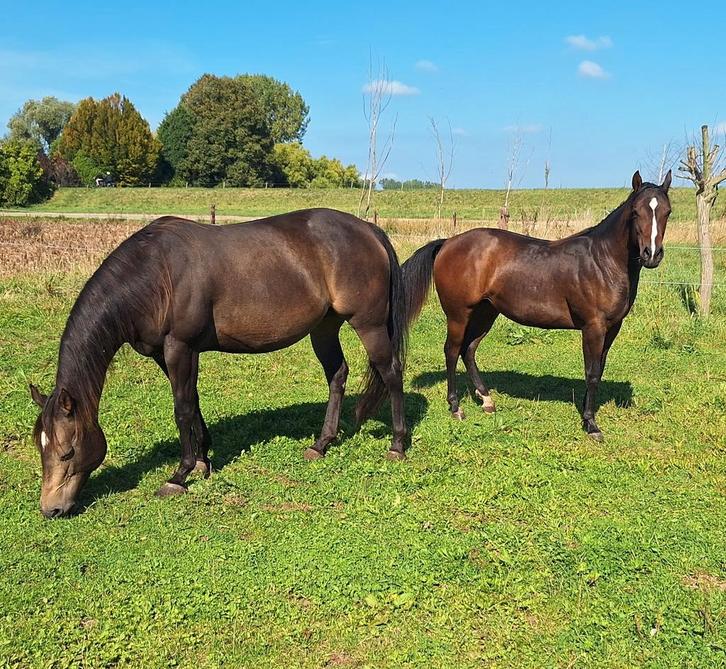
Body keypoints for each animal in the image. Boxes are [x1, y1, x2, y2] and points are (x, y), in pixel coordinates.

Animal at [30, 208, 410, 518]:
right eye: (41, 447)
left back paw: (397, 444)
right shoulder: (166, 354)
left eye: (68, 451)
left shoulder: (180, 347)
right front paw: (202, 460)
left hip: (368, 324)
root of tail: (367, 229)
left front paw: (179, 475)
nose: (51, 509)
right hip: (324, 327)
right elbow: (192, 402)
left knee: (391, 373)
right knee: (337, 375)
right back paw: (321, 443)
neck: (155, 274)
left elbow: (182, 409)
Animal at [402, 170, 672, 438]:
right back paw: (456, 407)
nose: (651, 254)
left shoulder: (613, 327)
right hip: (459, 314)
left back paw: (486, 400)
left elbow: (598, 369)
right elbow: (592, 373)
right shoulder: (593, 327)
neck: (602, 261)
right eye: (636, 211)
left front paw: (587, 414)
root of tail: (448, 243)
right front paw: (590, 423)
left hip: (486, 312)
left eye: (667, 211)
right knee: (452, 350)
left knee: (468, 350)